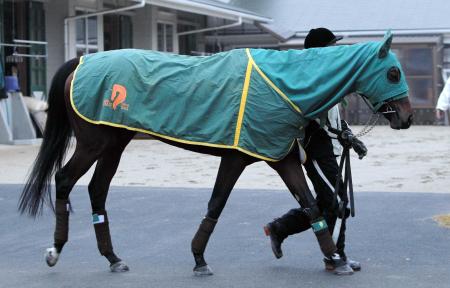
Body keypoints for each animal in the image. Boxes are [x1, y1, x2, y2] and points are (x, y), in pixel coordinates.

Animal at [18, 31, 412, 274]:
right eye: (393, 73)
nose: (406, 117)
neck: (283, 85)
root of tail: (81, 63)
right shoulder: (237, 157)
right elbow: (217, 203)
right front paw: (198, 258)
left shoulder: (283, 158)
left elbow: (311, 205)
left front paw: (335, 257)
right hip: (93, 143)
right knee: (64, 179)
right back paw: (55, 250)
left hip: (115, 143)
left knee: (97, 190)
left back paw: (114, 258)